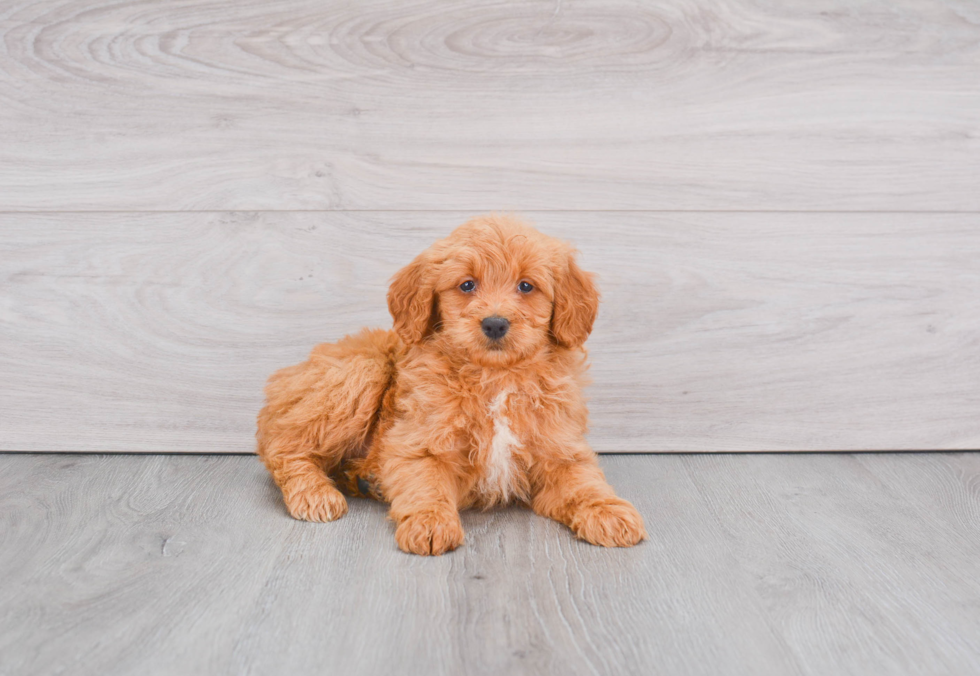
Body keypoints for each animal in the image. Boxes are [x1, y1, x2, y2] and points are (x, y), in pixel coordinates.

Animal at [256, 215, 648, 556]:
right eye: (467, 285)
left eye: (526, 286)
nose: (495, 323)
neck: (495, 378)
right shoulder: (419, 443)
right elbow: (426, 484)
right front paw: (429, 523)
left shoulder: (560, 450)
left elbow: (584, 482)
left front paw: (608, 511)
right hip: (360, 372)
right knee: (282, 447)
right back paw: (315, 494)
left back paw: (361, 480)